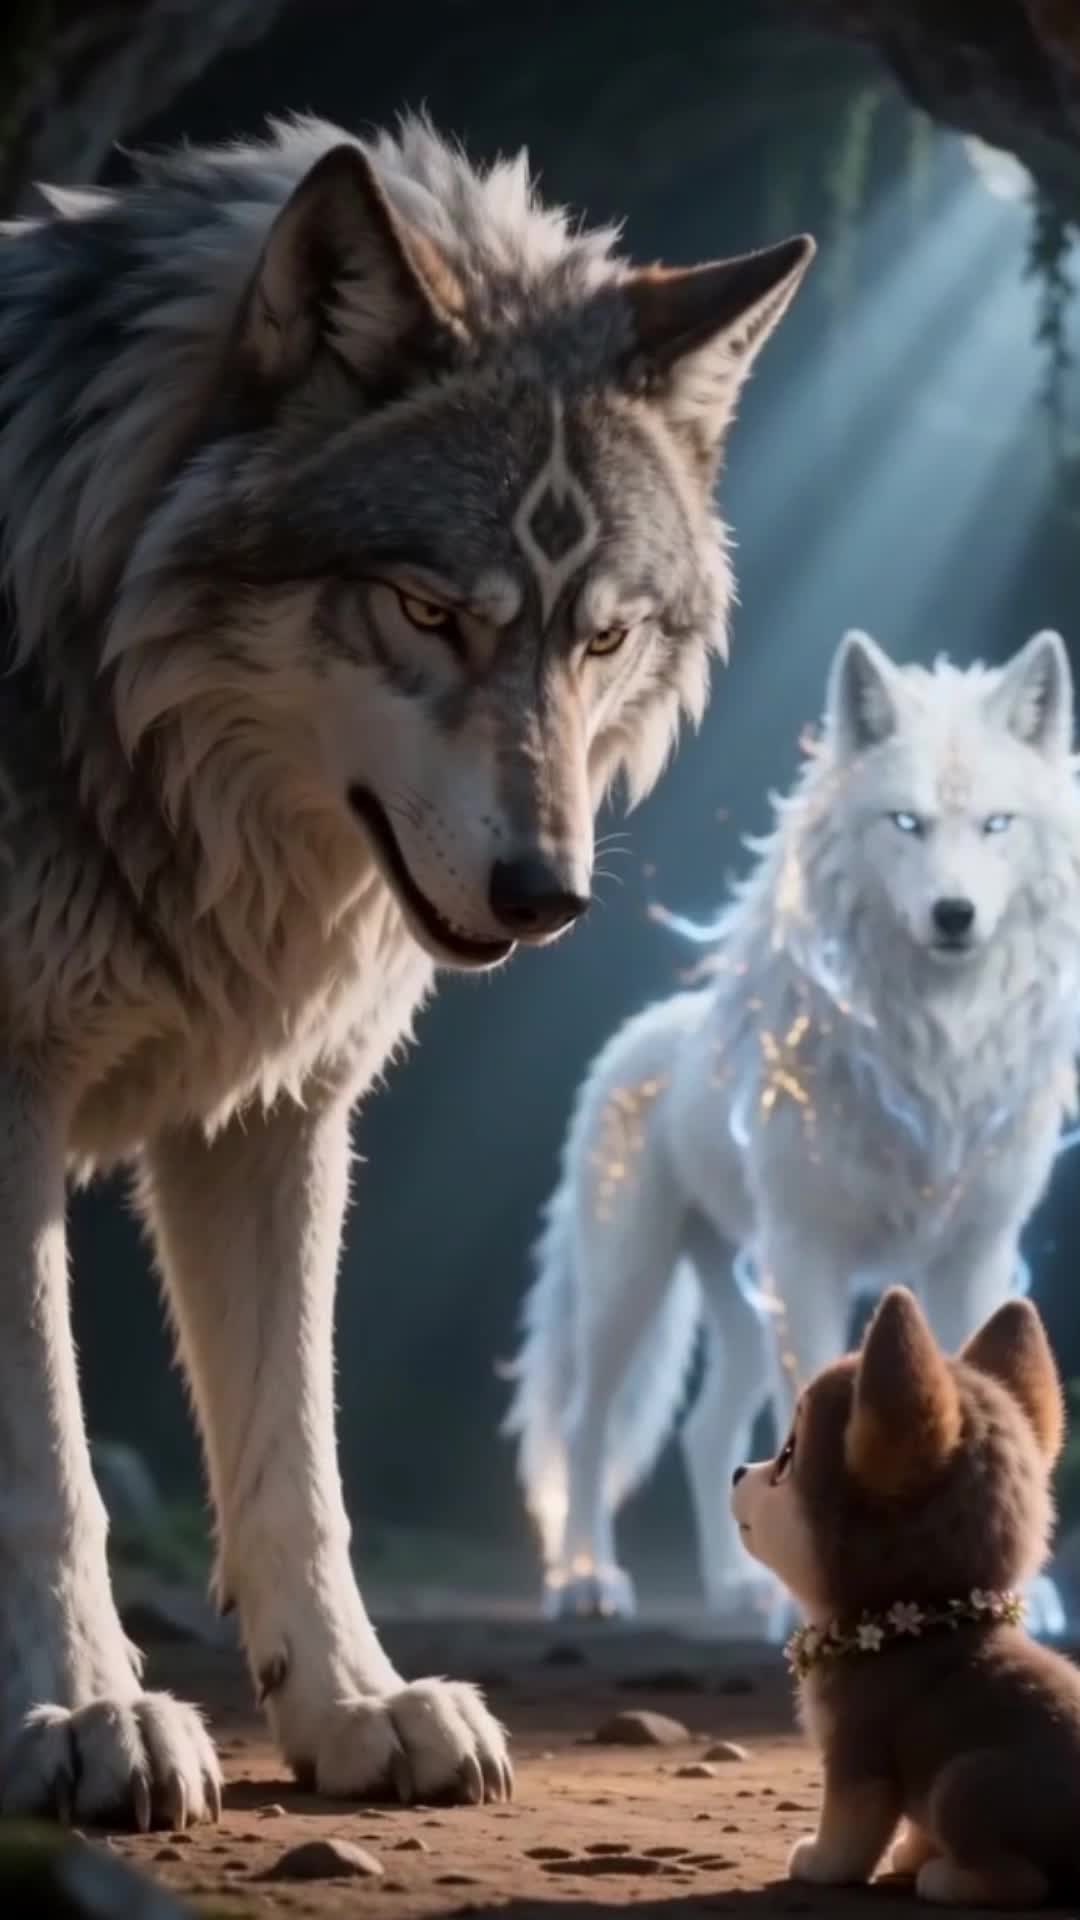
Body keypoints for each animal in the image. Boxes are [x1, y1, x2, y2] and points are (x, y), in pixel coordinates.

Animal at [0, 113, 814, 1826]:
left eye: (601, 638)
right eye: (430, 609)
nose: (547, 895)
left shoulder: (269, 1116)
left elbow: (298, 1465)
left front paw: (355, 1708)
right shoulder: (10, 1092)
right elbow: (53, 1473)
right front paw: (85, 1714)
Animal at [505, 628, 1080, 1626]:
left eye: (998, 825)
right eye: (905, 823)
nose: (955, 915)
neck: (933, 1051)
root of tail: (640, 1030)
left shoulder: (973, 1256)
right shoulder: (810, 1253)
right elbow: (807, 1409)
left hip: (740, 1297)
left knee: (704, 1432)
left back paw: (734, 1588)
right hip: (634, 1285)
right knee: (587, 1428)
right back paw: (586, 1582)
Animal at [732, 1287, 1080, 1907]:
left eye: (787, 1457)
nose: (736, 1470)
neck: (917, 1627)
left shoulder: (858, 1757)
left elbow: (849, 1830)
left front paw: (820, 1864)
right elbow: (914, 1829)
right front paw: (913, 1851)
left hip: (967, 1782)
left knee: (1024, 1879)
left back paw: (951, 1879)